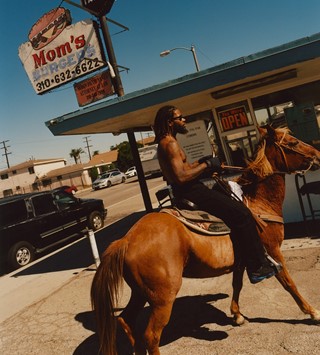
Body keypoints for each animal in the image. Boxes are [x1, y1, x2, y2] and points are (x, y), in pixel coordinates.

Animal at [90, 126, 320, 355]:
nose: (317, 155)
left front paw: (237, 315)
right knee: (150, 336)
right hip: (162, 298)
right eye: (292, 143)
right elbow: (289, 283)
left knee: (126, 321)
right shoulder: (272, 251)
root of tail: (126, 240)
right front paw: (312, 312)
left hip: (141, 293)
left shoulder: (241, 260)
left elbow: (237, 284)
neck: (257, 202)